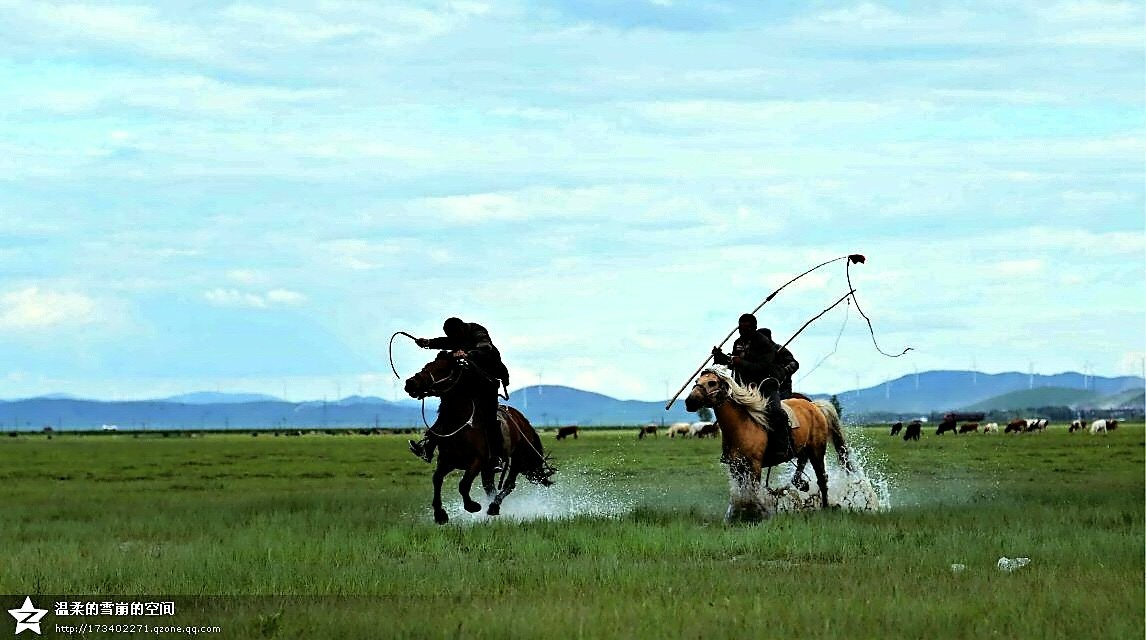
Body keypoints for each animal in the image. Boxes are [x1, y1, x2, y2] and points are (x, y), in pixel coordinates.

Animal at [405, 353, 552, 525]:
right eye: (426, 366)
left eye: (441, 369)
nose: (410, 383)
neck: (460, 424)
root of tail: (522, 420)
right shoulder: (446, 461)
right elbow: (437, 480)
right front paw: (440, 514)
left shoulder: (477, 461)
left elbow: (463, 484)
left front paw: (472, 506)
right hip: (488, 469)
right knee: (490, 488)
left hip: (517, 459)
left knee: (508, 484)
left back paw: (494, 506)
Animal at [678, 369, 852, 525]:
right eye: (696, 381)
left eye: (712, 382)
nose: (689, 401)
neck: (742, 426)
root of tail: (814, 406)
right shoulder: (736, 467)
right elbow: (741, 493)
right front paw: (736, 515)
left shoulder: (754, 466)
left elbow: (753, 491)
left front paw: (759, 514)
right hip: (803, 448)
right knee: (803, 463)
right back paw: (801, 484)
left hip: (817, 450)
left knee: (822, 478)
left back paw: (826, 506)